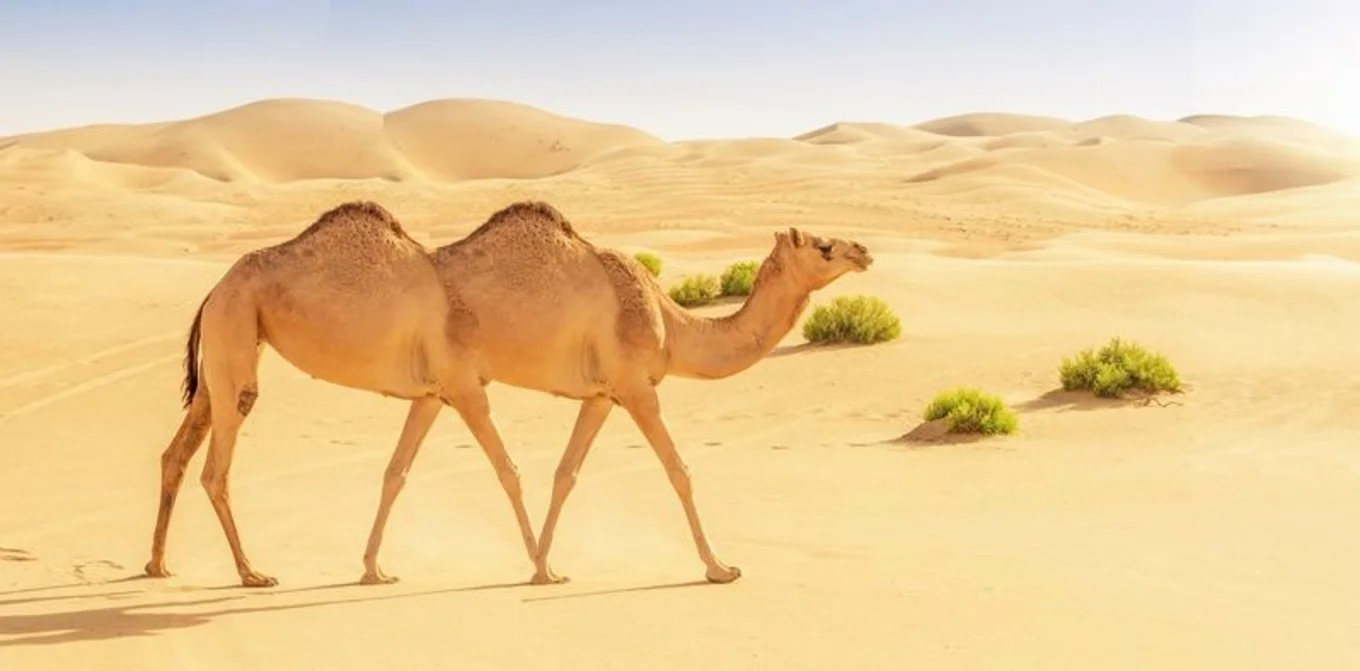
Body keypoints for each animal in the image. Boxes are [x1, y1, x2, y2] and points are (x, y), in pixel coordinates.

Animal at [146, 197, 870, 585]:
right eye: (823, 245)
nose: (863, 249)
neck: (671, 322)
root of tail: (213, 287)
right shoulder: (621, 386)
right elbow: (667, 471)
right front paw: (717, 567)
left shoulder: (580, 394)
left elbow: (537, 473)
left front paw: (376, 568)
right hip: (239, 339)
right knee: (216, 465)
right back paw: (252, 573)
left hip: (225, 350)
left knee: (178, 451)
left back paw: (157, 565)